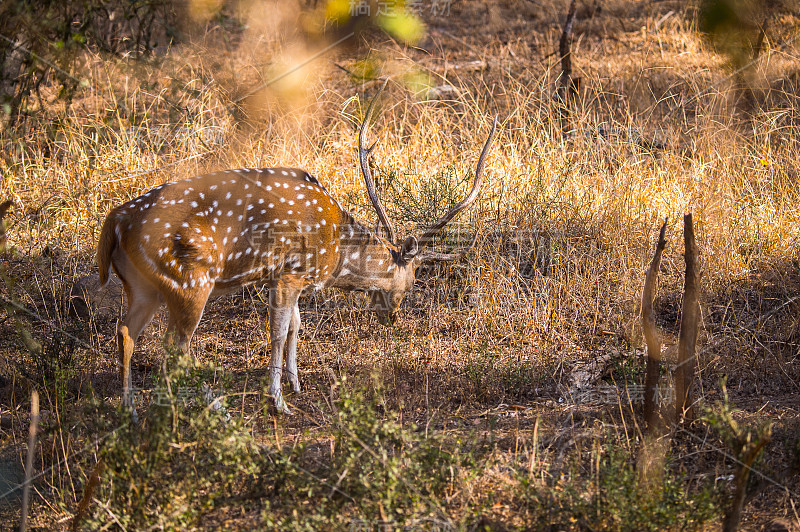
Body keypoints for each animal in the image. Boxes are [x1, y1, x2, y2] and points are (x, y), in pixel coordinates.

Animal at [97, 87, 496, 414]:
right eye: (412, 281)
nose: (392, 317)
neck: (335, 254)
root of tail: (115, 221)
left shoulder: (284, 278)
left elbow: (295, 325)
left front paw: (296, 383)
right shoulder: (290, 272)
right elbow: (277, 331)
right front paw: (277, 400)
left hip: (143, 286)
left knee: (126, 331)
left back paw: (129, 408)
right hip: (189, 282)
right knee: (173, 346)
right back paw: (212, 406)